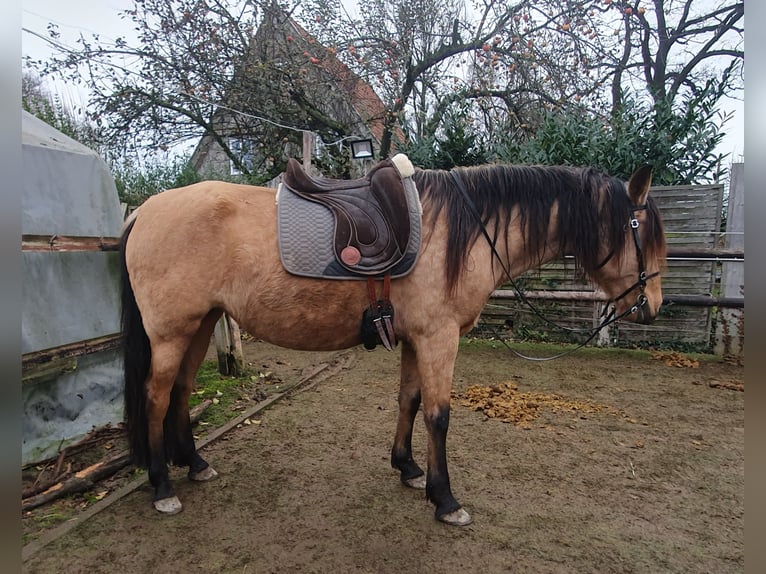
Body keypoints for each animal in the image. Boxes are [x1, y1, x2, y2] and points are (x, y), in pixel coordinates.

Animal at [119, 158, 666, 526]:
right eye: (643, 233)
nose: (652, 306)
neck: (466, 231)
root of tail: (144, 210)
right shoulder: (438, 338)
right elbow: (439, 416)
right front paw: (445, 499)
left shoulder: (414, 338)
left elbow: (409, 400)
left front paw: (407, 468)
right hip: (172, 331)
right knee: (155, 397)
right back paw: (162, 486)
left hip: (201, 323)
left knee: (181, 392)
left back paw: (195, 464)